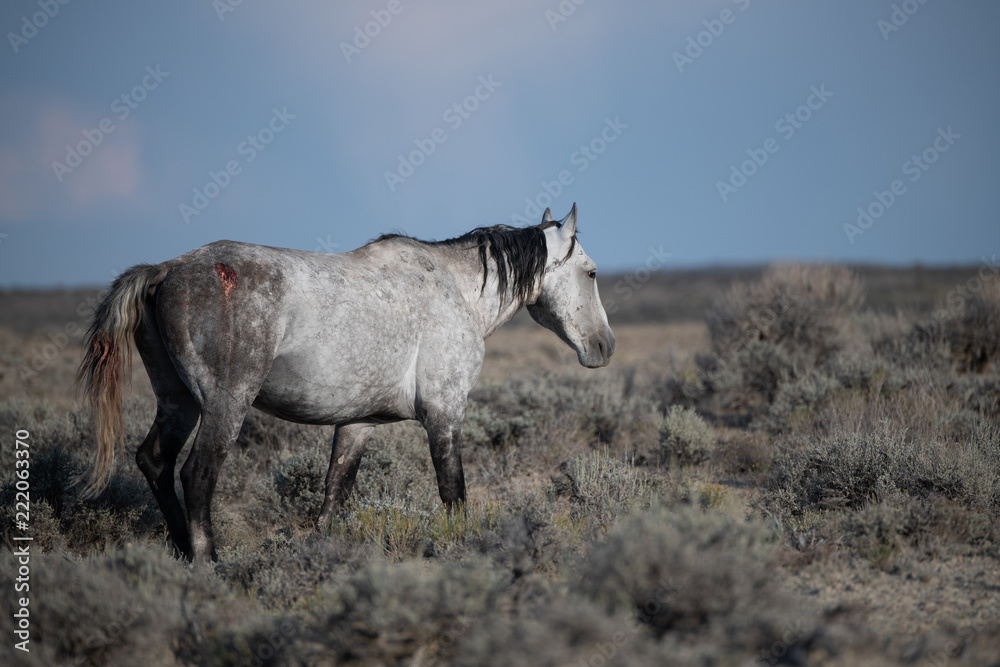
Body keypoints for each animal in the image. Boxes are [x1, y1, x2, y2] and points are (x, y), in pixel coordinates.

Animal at [77, 204, 615, 561]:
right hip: (224, 406)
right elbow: (453, 492)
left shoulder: (358, 424)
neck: (455, 291)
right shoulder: (444, 415)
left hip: (179, 402)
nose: (605, 346)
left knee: (155, 461)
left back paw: (181, 551)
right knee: (197, 475)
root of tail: (165, 270)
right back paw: (209, 562)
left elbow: (333, 497)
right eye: (591, 273)